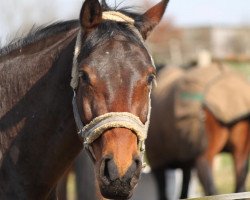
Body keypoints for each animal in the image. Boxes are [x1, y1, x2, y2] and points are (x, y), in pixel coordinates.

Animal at [146, 65, 250, 199]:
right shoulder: (185, 162)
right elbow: (183, 191)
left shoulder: (157, 162)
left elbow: (164, 192)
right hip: (240, 152)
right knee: (239, 186)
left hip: (203, 155)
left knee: (210, 188)